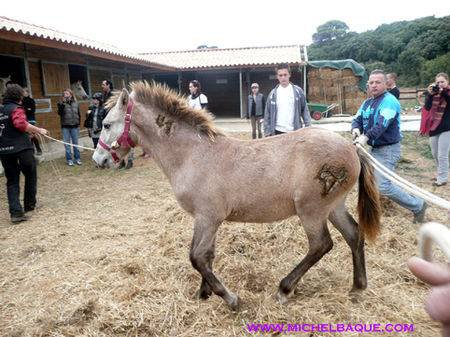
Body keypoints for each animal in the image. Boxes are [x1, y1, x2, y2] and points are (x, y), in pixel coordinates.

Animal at [93, 80, 382, 310]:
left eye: (106, 124)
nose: (99, 160)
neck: (192, 154)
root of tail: (351, 148)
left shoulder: (208, 217)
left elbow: (197, 257)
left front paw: (229, 298)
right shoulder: (206, 219)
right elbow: (207, 256)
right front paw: (204, 293)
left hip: (311, 210)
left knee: (321, 245)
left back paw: (284, 289)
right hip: (333, 207)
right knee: (354, 235)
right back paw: (358, 287)